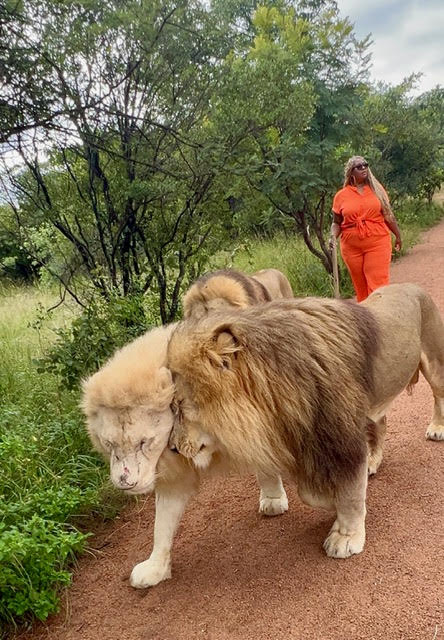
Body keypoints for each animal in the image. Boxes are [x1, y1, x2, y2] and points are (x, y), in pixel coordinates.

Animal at [168, 283, 444, 560]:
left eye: (179, 406)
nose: (172, 448)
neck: (276, 396)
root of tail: (412, 286)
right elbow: (308, 492)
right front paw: (326, 500)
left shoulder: (343, 441)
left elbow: (350, 494)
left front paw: (345, 536)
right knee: (381, 423)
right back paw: (373, 461)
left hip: (434, 362)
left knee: (439, 396)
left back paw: (437, 429)